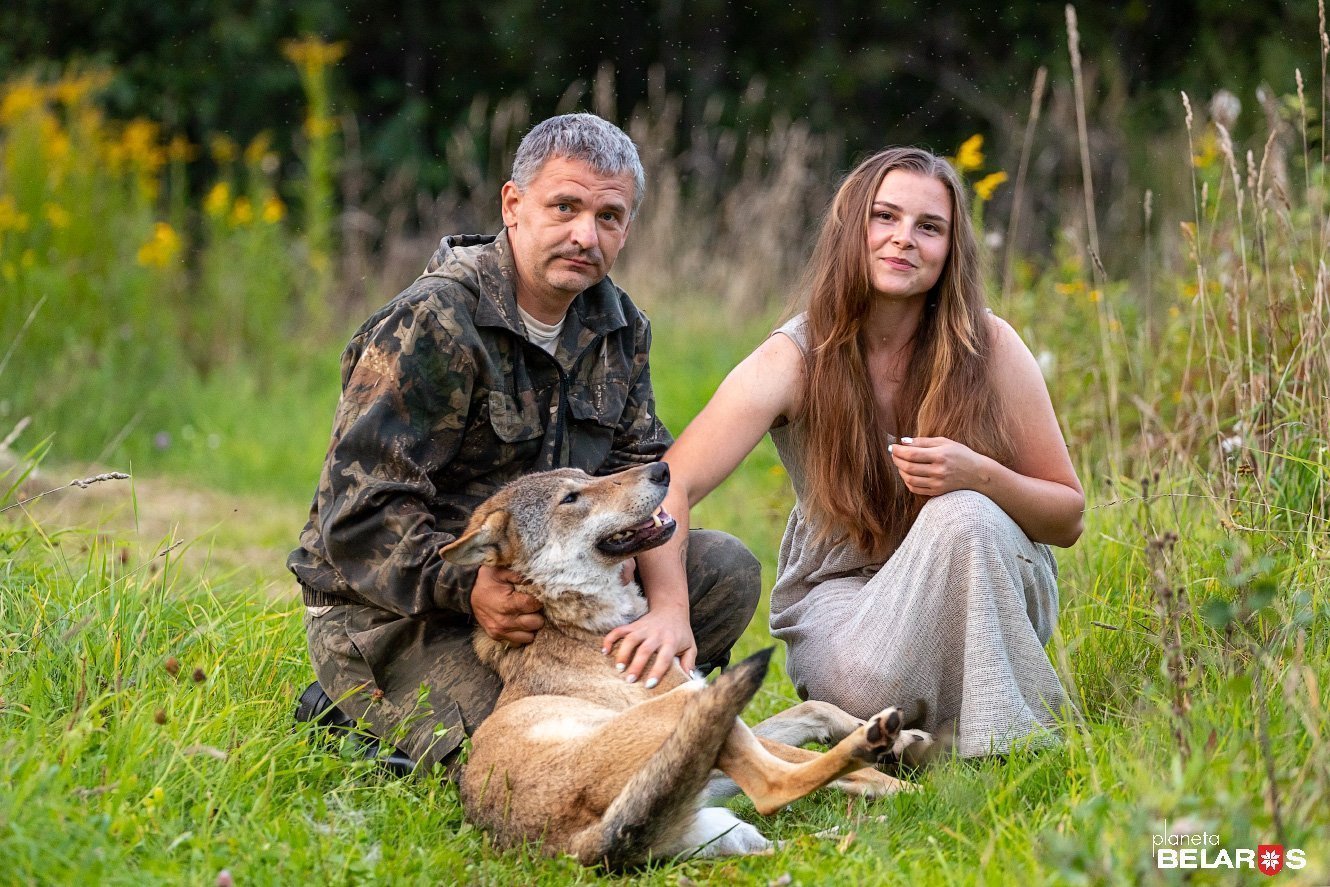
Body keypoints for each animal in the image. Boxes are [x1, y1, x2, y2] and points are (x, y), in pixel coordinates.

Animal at [441, 462, 931, 872]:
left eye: (588, 474)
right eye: (572, 498)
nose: (662, 467)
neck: (571, 620)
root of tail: (574, 847)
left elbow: (817, 711)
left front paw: (902, 738)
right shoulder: (705, 710)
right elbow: (812, 750)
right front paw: (910, 777)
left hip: (723, 810)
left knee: (794, 842)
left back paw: (861, 824)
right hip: (690, 710)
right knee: (774, 789)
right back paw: (901, 782)